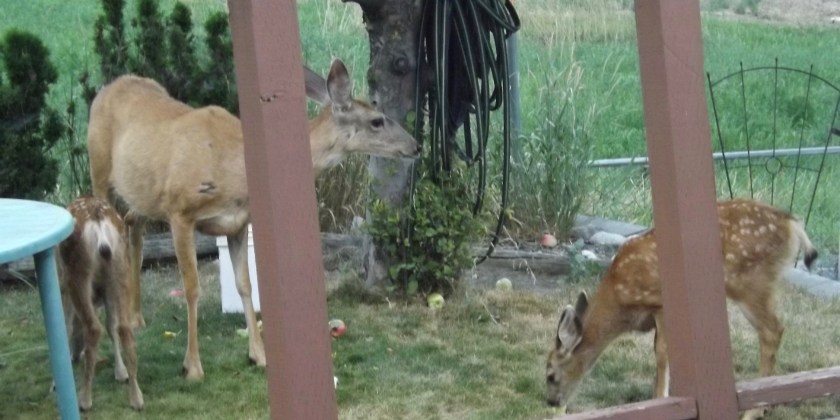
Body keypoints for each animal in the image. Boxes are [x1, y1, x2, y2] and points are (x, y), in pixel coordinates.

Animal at [57, 196, 143, 411]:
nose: (75, 356)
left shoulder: (62, 286)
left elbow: (66, 325)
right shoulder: (107, 291)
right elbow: (111, 325)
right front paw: (121, 373)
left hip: (77, 274)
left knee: (94, 328)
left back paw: (84, 400)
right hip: (120, 269)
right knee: (124, 328)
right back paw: (136, 398)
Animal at [87, 59, 420, 380]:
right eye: (377, 120)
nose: (415, 146)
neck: (235, 168)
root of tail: (109, 87)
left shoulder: (237, 221)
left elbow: (245, 284)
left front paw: (258, 355)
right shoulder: (180, 211)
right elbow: (192, 287)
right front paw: (192, 366)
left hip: (142, 195)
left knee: (133, 225)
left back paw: (135, 316)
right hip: (100, 172)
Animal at [545, 198, 817, 420]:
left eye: (551, 375)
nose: (551, 402)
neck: (620, 300)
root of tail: (792, 224)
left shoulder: (659, 303)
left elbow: (661, 352)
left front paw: (660, 400)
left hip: (749, 281)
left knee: (772, 330)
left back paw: (754, 411)